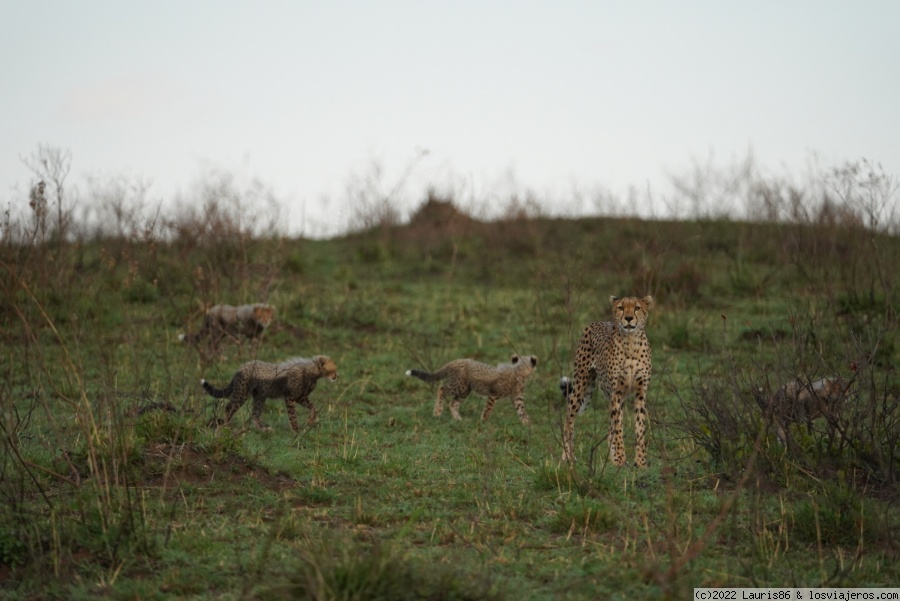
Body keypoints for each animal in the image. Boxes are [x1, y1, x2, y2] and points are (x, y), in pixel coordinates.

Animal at [560, 294, 652, 464]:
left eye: (637, 307)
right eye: (621, 308)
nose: (628, 318)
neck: (631, 342)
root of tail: (595, 322)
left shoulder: (640, 393)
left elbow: (639, 427)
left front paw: (640, 461)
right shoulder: (616, 393)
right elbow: (618, 429)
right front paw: (622, 460)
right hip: (581, 384)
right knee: (569, 418)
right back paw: (567, 456)